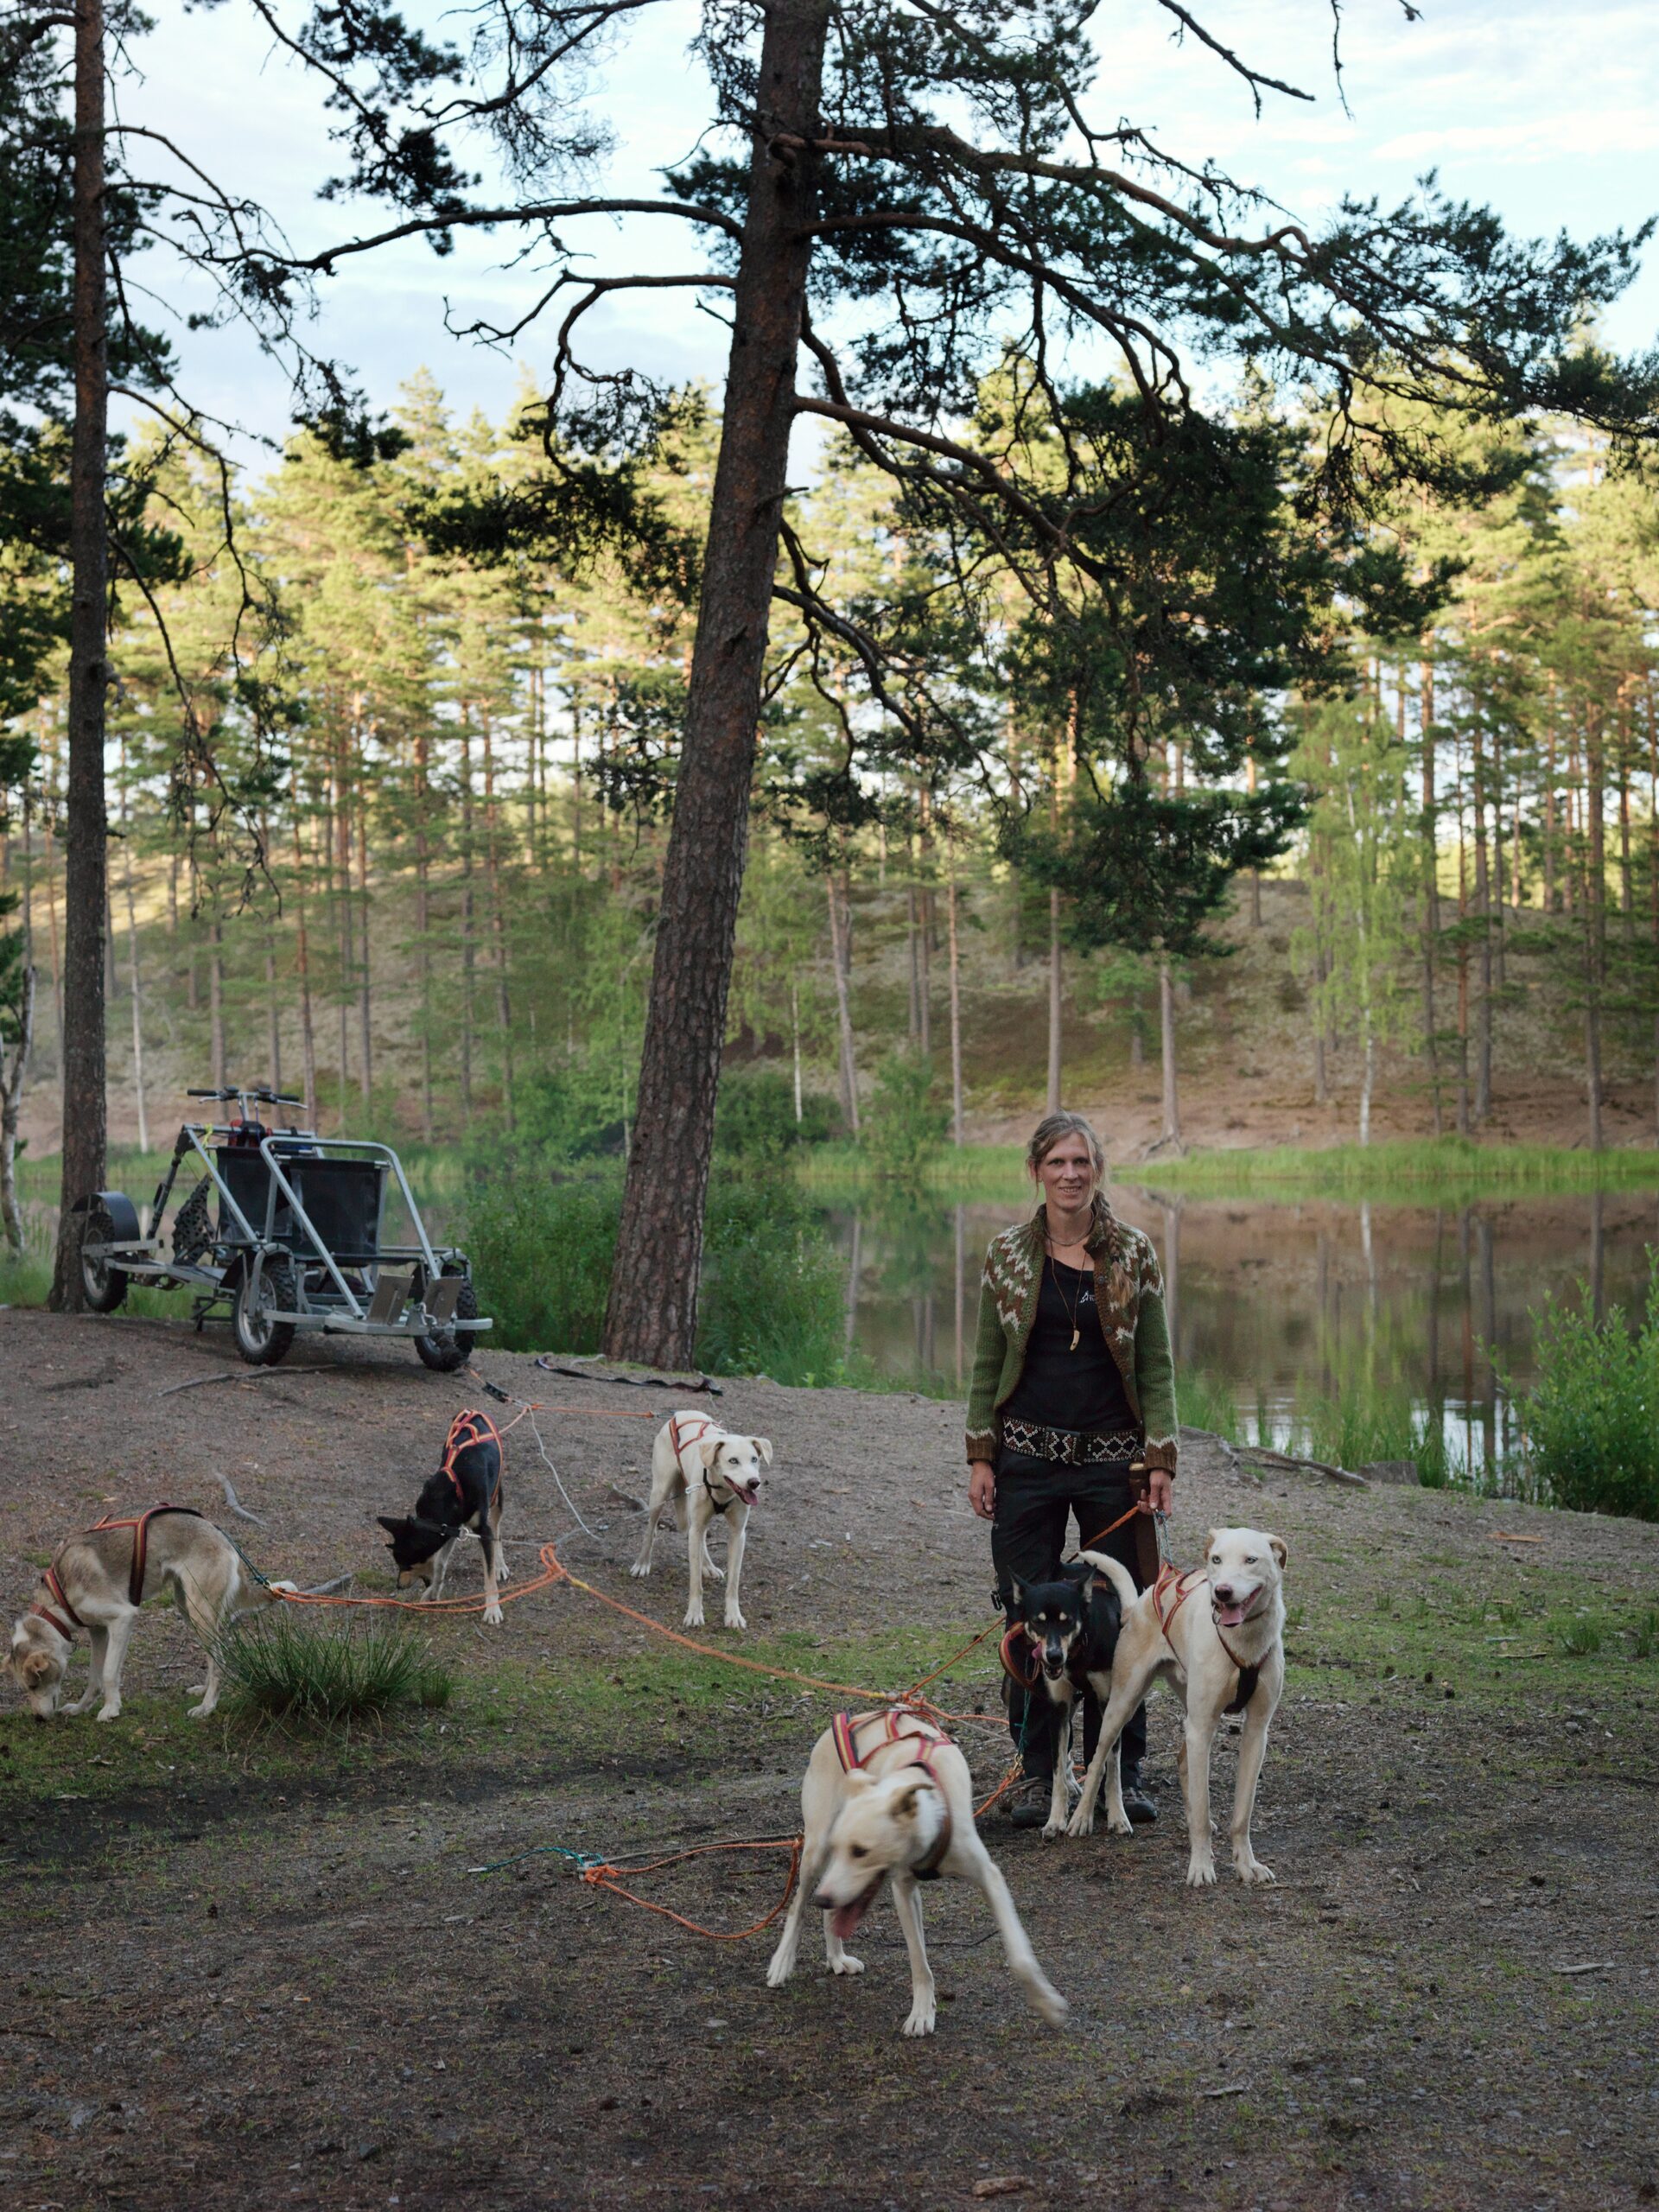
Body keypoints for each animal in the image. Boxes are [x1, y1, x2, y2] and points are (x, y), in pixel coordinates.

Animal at [3, 1503, 296, 1725]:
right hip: (188, 1608)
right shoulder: (98, 1632)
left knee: (220, 1660)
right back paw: (203, 1691)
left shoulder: (123, 1618)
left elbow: (108, 1672)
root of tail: (223, 1538)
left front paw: (111, 1709)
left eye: (33, 1686)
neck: (60, 1592)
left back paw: (207, 1706)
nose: (38, 1719)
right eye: (26, 1689)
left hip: (199, 1612)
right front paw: (80, 1708)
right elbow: (94, 1677)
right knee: (214, 1657)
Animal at [380, 1415, 511, 1628]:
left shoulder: (483, 1529)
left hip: (497, 1496)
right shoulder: (451, 1527)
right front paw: (433, 1592)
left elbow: (489, 1573)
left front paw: (492, 1609)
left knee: (497, 1529)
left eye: (404, 1565)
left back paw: (500, 1565)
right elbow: (440, 1564)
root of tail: (475, 1412)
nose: (398, 1585)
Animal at [628, 1415, 774, 1628]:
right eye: (733, 1460)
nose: (754, 1482)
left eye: (754, 1459)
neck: (722, 1489)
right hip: (660, 1493)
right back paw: (642, 1563)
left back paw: (708, 1566)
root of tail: (679, 1413)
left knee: (702, 1535)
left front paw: (733, 1615)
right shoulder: (695, 1528)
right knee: (651, 1530)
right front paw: (694, 1614)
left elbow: (733, 1583)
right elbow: (695, 1582)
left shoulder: (738, 1534)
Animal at [769, 1707, 1071, 2035]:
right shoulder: (903, 1890)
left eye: (860, 1851)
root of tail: (845, 1719)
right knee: (798, 1904)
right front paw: (922, 2012)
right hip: (817, 1849)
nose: (822, 1899)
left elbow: (1020, 1956)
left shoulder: (989, 1877)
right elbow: (918, 1961)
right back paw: (782, 1962)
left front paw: (1046, 2003)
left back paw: (836, 1957)